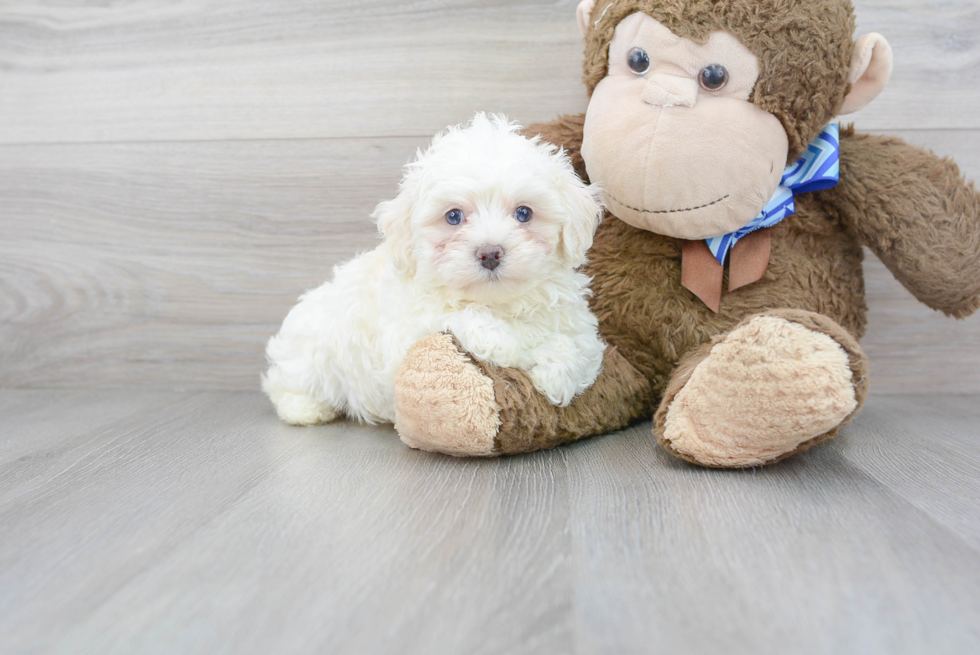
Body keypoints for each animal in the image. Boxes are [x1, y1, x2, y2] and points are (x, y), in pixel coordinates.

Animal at [260, 114, 604, 426]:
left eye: (524, 213)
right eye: (453, 216)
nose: (489, 253)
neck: (499, 303)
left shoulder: (578, 324)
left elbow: (579, 345)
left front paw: (556, 374)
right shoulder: (406, 333)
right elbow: (453, 316)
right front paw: (501, 342)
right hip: (309, 357)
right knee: (283, 385)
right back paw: (306, 409)